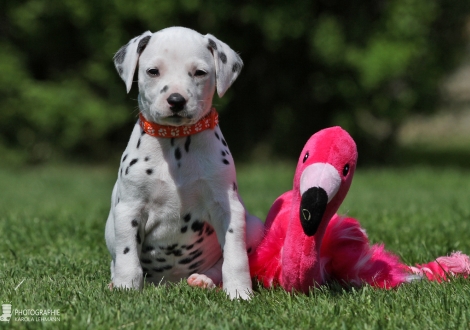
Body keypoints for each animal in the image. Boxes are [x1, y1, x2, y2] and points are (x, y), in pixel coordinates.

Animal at [104, 26, 264, 300]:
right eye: (153, 71)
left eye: (199, 72)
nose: (176, 100)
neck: (176, 141)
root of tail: (171, 283)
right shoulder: (129, 208)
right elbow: (127, 257)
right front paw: (126, 288)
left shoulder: (227, 207)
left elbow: (235, 257)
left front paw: (239, 292)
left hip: (254, 225)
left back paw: (204, 280)